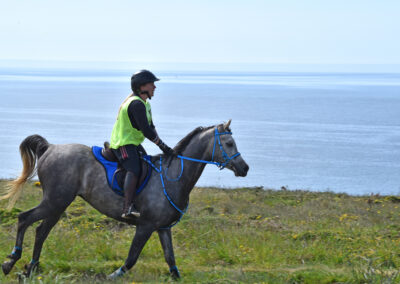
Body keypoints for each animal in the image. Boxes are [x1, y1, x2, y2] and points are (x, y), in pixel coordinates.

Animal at [1, 120, 248, 280]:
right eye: (228, 144)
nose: (244, 168)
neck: (173, 177)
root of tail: (50, 148)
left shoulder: (163, 228)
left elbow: (171, 261)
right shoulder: (145, 226)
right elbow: (131, 258)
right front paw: (113, 275)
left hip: (58, 204)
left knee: (41, 231)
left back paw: (30, 268)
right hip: (55, 201)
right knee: (24, 219)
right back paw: (11, 261)